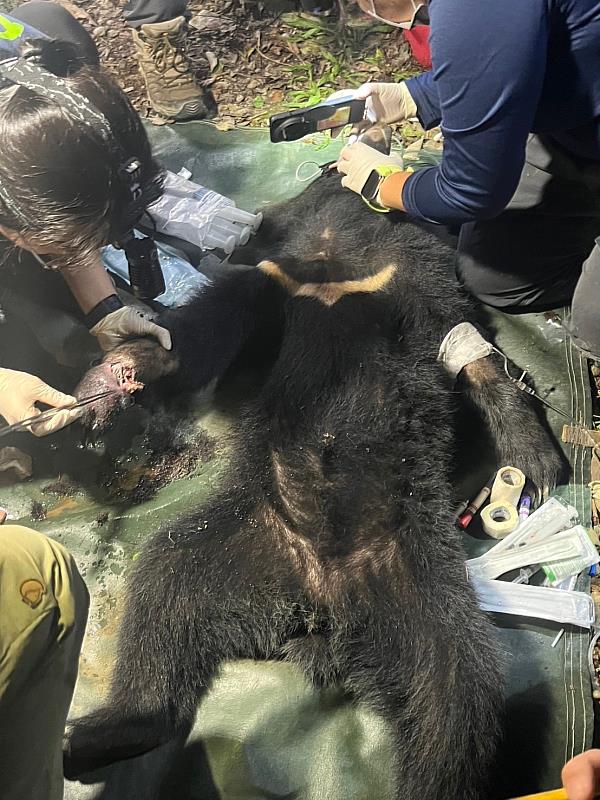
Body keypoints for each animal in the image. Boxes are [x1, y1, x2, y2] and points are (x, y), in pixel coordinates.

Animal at [65, 170, 564, 800]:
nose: (329, 172)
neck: (335, 258)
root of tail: (317, 602)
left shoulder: (408, 276)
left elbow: (461, 342)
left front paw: (536, 458)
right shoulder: (272, 282)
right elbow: (197, 338)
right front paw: (104, 384)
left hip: (418, 578)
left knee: (455, 695)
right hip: (234, 540)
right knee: (159, 600)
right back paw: (106, 730)